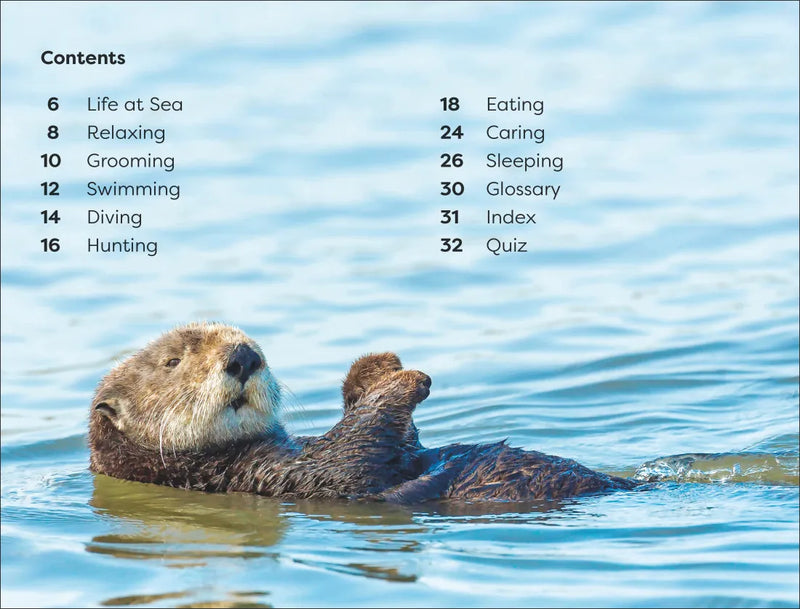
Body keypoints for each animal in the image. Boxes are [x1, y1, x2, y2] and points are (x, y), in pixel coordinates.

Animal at [89, 322, 636, 503]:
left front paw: (377, 365)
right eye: (173, 362)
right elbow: (356, 450)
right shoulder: (274, 477)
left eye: (252, 341)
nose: (244, 355)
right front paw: (406, 379)